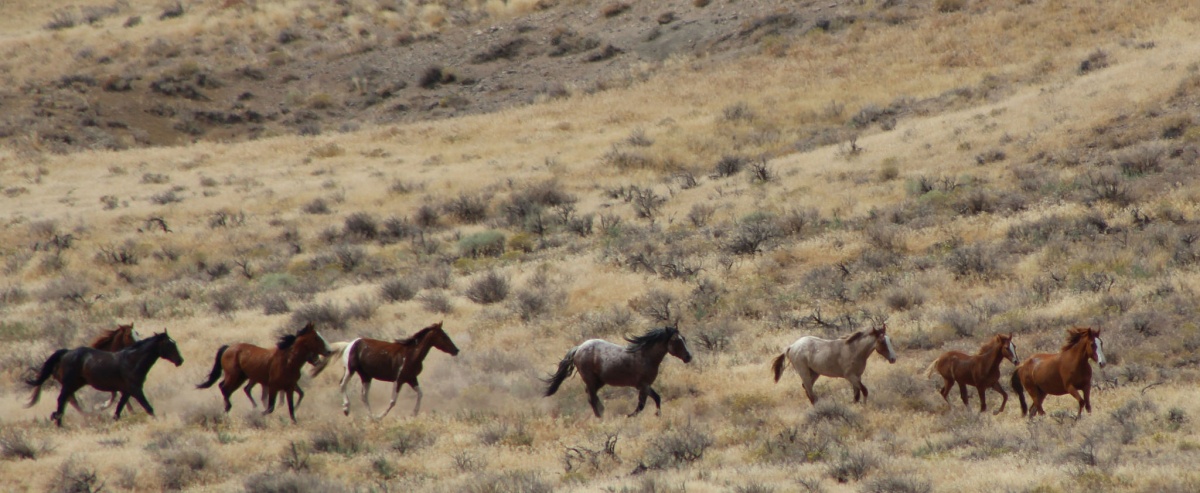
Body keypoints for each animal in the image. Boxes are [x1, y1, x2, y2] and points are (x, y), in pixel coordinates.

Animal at [25, 331, 182, 429]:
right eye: (169, 344)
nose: (180, 360)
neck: (131, 361)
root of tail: (66, 353)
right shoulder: (136, 390)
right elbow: (148, 408)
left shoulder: (127, 391)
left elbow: (119, 409)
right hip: (70, 384)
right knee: (62, 399)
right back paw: (59, 422)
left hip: (76, 384)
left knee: (68, 400)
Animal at [195, 321, 331, 422]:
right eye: (316, 338)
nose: (329, 351)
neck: (288, 361)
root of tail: (228, 348)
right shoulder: (273, 387)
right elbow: (270, 407)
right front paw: (257, 414)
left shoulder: (290, 387)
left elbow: (291, 408)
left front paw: (294, 421)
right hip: (234, 376)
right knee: (225, 388)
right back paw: (228, 409)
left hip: (241, 377)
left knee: (225, 388)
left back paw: (227, 409)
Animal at [309, 323, 458, 419]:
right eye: (444, 336)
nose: (456, 350)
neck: (411, 354)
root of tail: (349, 344)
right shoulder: (399, 380)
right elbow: (393, 401)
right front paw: (381, 416)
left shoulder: (411, 378)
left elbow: (420, 393)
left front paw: (414, 413)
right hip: (350, 370)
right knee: (342, 384)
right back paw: (347, 409)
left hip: (366, 376)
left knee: (364, 396)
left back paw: (371, 417)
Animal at [544, 326, 696, 419]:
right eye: (676, 340)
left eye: (683, 338)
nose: (688, 357)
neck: (645, 356)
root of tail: (579, 348)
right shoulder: (643, 385)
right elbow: (641, 406)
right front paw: (628, 416)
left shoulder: (646, 385)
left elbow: (657, 398)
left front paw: (658, 415)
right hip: (591, 379)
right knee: (592, 398)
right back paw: (601, 416)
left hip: (599, 381)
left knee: (591, 396)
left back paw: (602, 411)